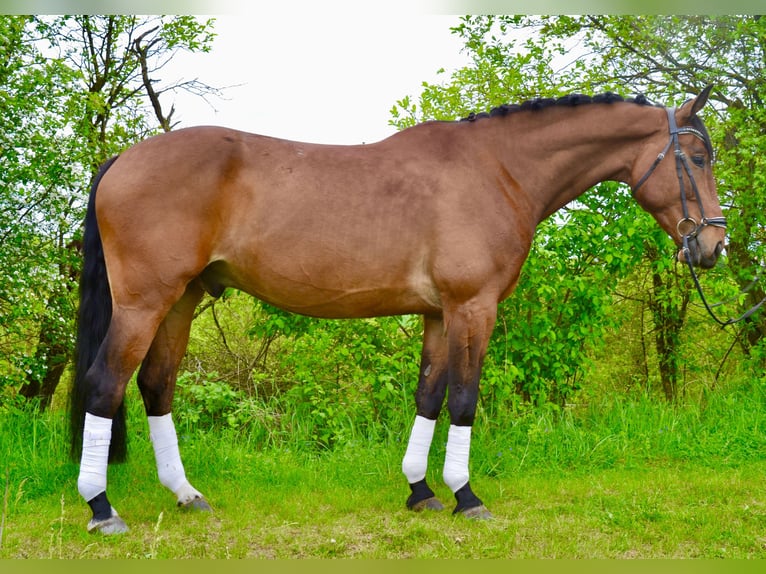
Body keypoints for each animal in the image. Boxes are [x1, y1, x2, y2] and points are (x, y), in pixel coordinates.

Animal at [70, 86, 725, 534]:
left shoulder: (439, 314)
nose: (713, 246)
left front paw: (421, 491)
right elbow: (464, 399)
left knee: (156, 384)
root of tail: (122, 160)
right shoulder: (473, 308)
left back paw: (185, 494)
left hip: (182, 299)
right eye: (696, 158)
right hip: (145, 302)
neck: (497, 170)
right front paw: (467, 496)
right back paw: (102, 508)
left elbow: (429, 396)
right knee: (105, 384)